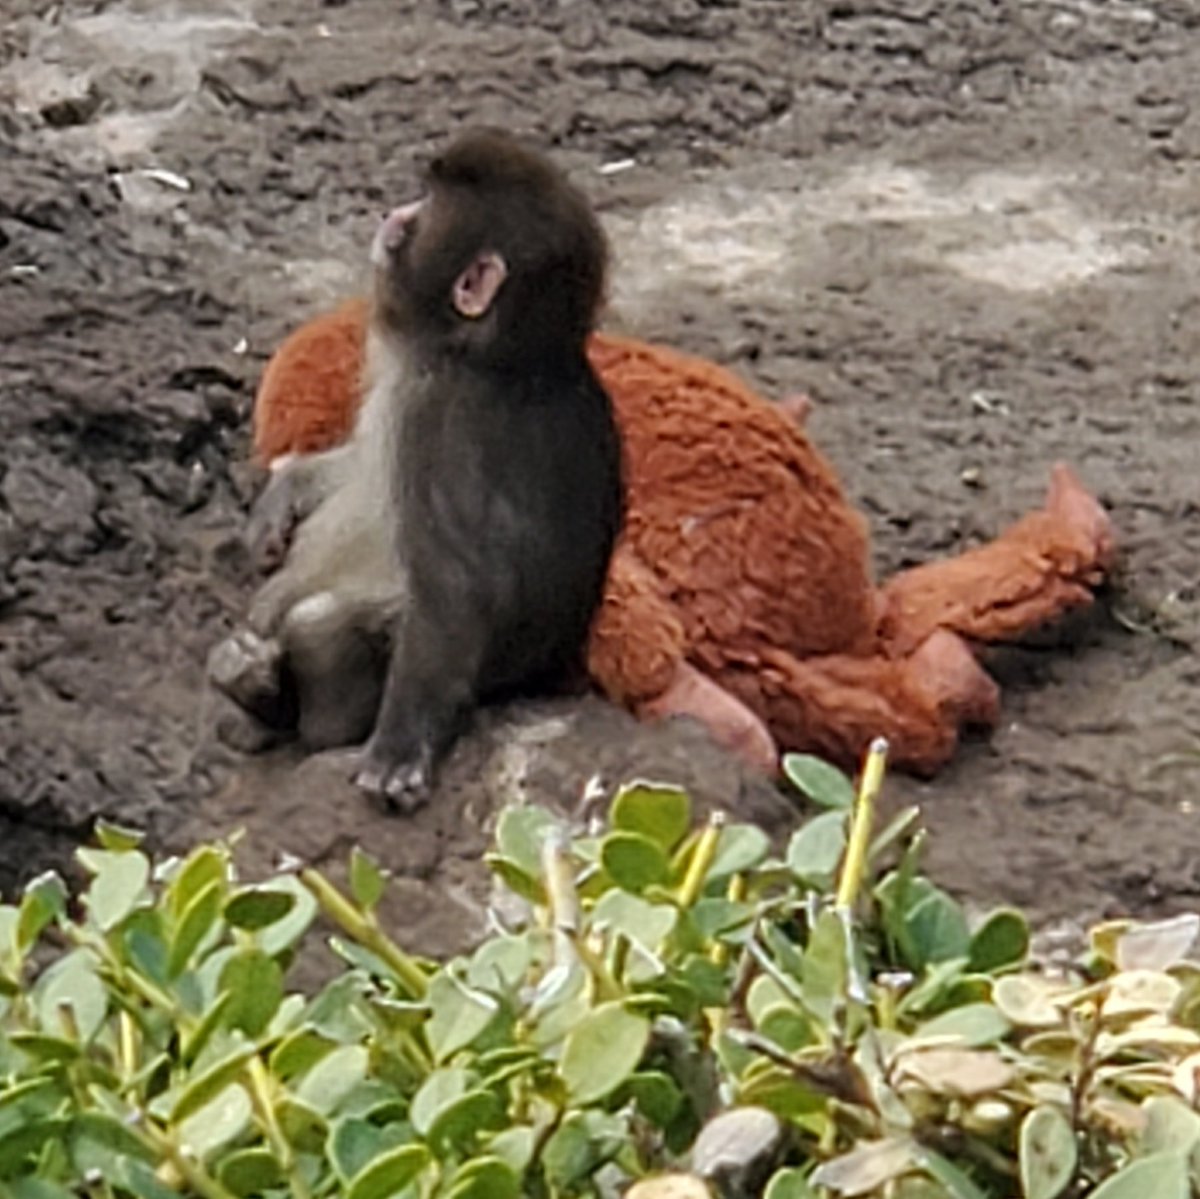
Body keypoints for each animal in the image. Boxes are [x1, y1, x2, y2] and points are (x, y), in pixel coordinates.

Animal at [208, 128, 625, 811]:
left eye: (423, 212)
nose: (393, 214)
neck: (491, 355)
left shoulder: (441, 418)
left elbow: (453, 593)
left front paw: (398, 752)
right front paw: (282, 495)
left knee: (321, 621)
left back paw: (299, 713)